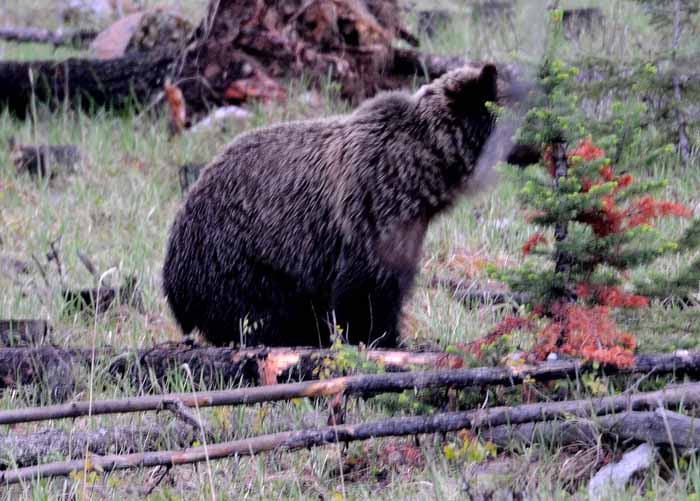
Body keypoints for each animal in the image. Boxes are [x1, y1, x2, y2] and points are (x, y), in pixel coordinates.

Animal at [163, 64, 504, 348]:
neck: (421, 167)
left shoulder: (409, 223)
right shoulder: (372, 206)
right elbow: (367, 289)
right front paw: (381, 338)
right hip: (240, 260)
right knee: (258, 314)